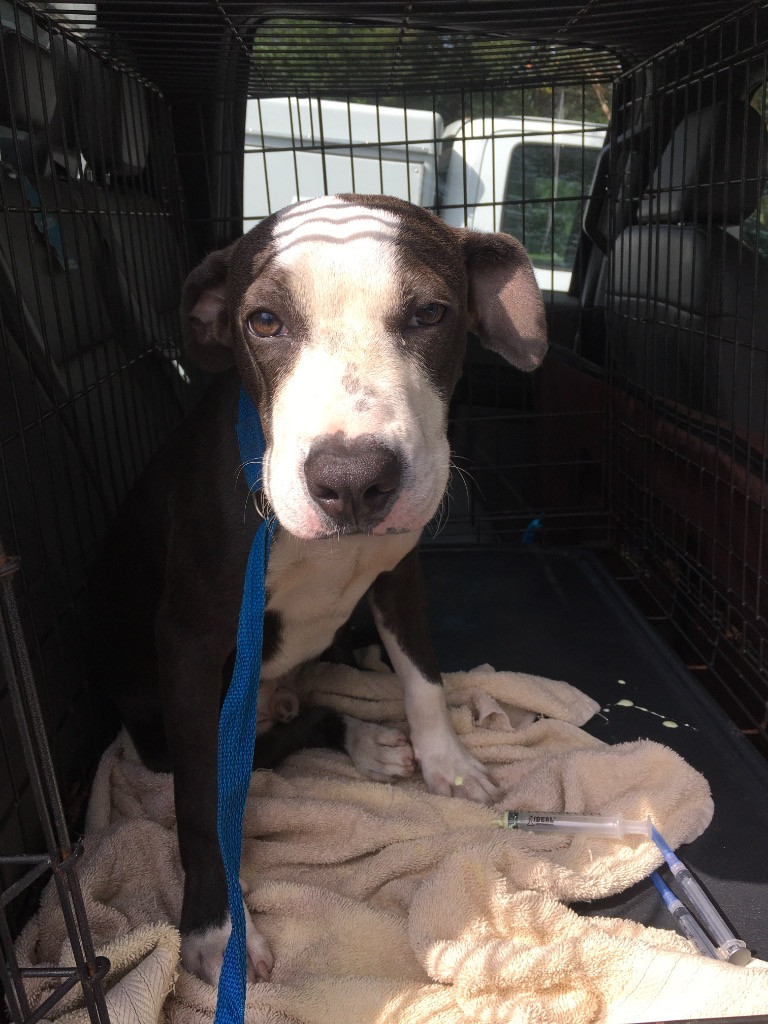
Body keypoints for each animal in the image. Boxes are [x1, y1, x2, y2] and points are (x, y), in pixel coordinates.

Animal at [88, 195, 548, 987]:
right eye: (264, 321)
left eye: (430, 313)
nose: (354, 481)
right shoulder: (190, 641)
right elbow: (200, 800)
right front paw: (214, 929)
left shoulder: (400, 571)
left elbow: (423, 676)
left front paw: (447, 763)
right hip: (160, 723)